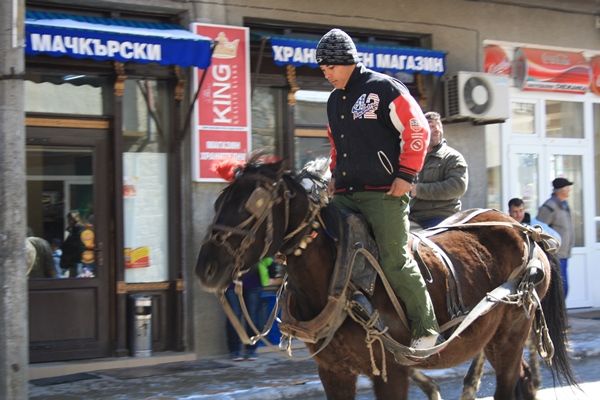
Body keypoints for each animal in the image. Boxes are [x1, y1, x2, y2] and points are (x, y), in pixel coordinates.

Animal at [195, 158, 576, 398]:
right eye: (219, 202)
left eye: (253, 206)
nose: (206, 269)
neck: (341, 276)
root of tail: (526, 230)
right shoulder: (334, 372)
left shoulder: (392, 372)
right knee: (520, 381)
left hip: (511, 333)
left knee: (510, 385)